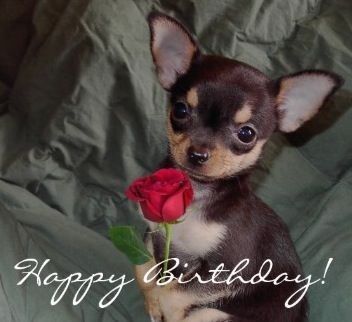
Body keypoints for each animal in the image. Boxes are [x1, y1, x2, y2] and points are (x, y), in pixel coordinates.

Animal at [134, 11, 340, 322]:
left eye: (246, 134)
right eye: (180, 110)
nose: (198, 154)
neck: (195, 196)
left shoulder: (227, 271)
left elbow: (174, 293)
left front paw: (165, 307)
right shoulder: (156, 237)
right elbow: (145, 272)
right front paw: (152, 304)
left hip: (215, 314)